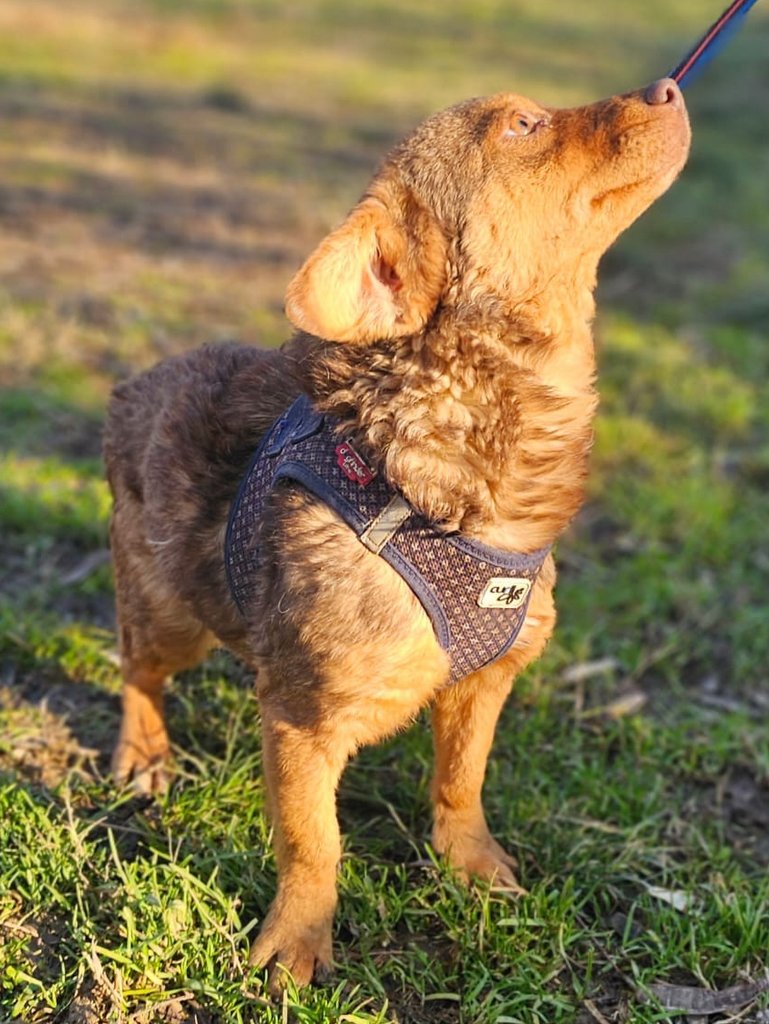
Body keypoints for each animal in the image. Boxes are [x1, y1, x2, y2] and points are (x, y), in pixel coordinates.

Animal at [103, 77, 690, 993]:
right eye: (524, 125)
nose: (668, 85)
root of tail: (132, 389)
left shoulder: (483, 684)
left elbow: (461, 782)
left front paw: (470, 866)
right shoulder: (303, 719)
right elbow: (313, 842)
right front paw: (296, 945)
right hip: (172, 613)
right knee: (137, 668)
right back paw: (143, 753)